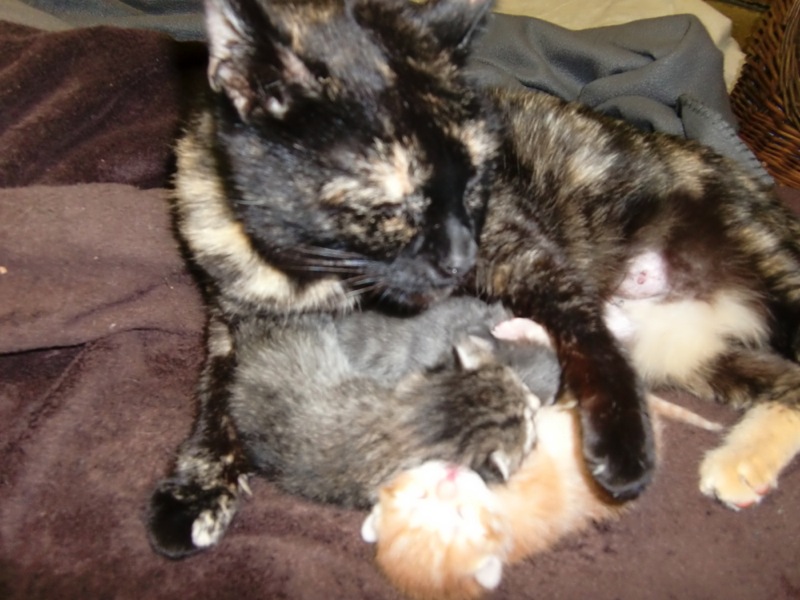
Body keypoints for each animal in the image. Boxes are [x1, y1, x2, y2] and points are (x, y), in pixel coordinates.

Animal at [148, 0, 800, 559]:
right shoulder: (234, 316)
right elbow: (219, 392)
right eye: (401, 201)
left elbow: (584, 329)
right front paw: (196, 491)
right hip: (689, 355)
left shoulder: (519, 246)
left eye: (480, 178)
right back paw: (739, 466)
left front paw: (622, 444)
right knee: (789, 384)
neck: (314, 273)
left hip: (763, 265)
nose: (463, 257)